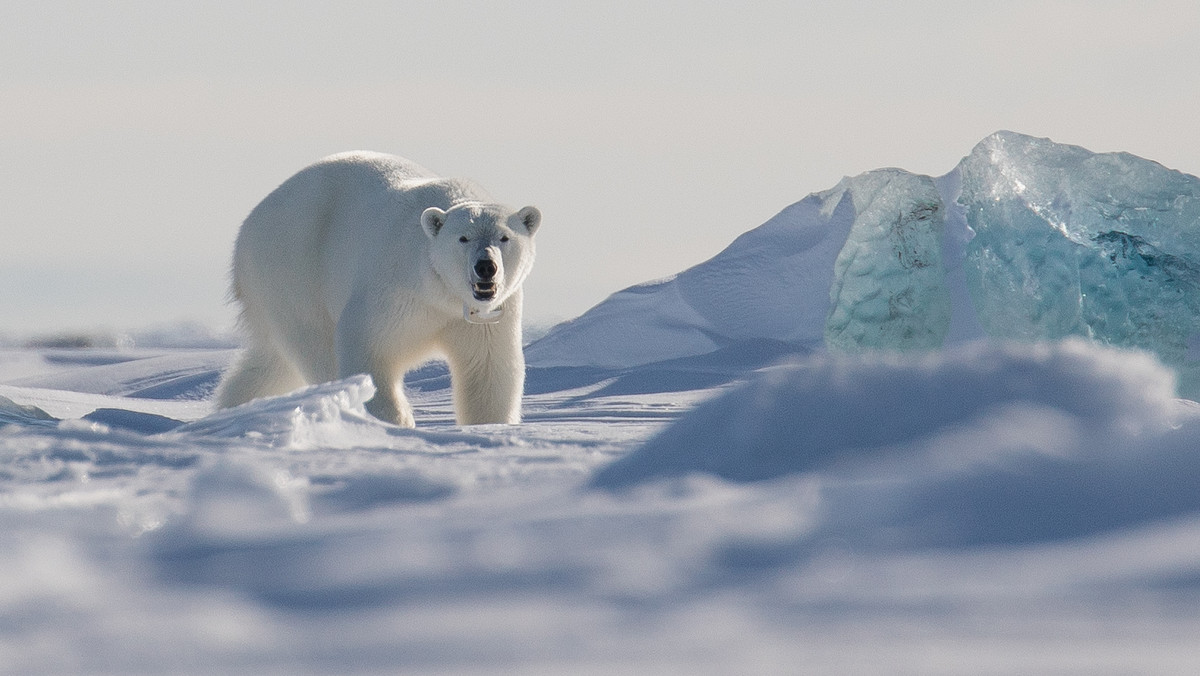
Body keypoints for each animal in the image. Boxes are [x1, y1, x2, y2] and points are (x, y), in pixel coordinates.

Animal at [216, 153, 544, 427]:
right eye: (462, 238)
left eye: (504, 237)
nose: (485, 267)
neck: (441, 292)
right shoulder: (394, 289)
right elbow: (368, 347)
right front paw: (396, 421)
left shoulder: (485, 316)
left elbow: (488, 370)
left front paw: (490, 426)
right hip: (292, 270)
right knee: (316, 346)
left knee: (271, 363)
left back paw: (232, 407)